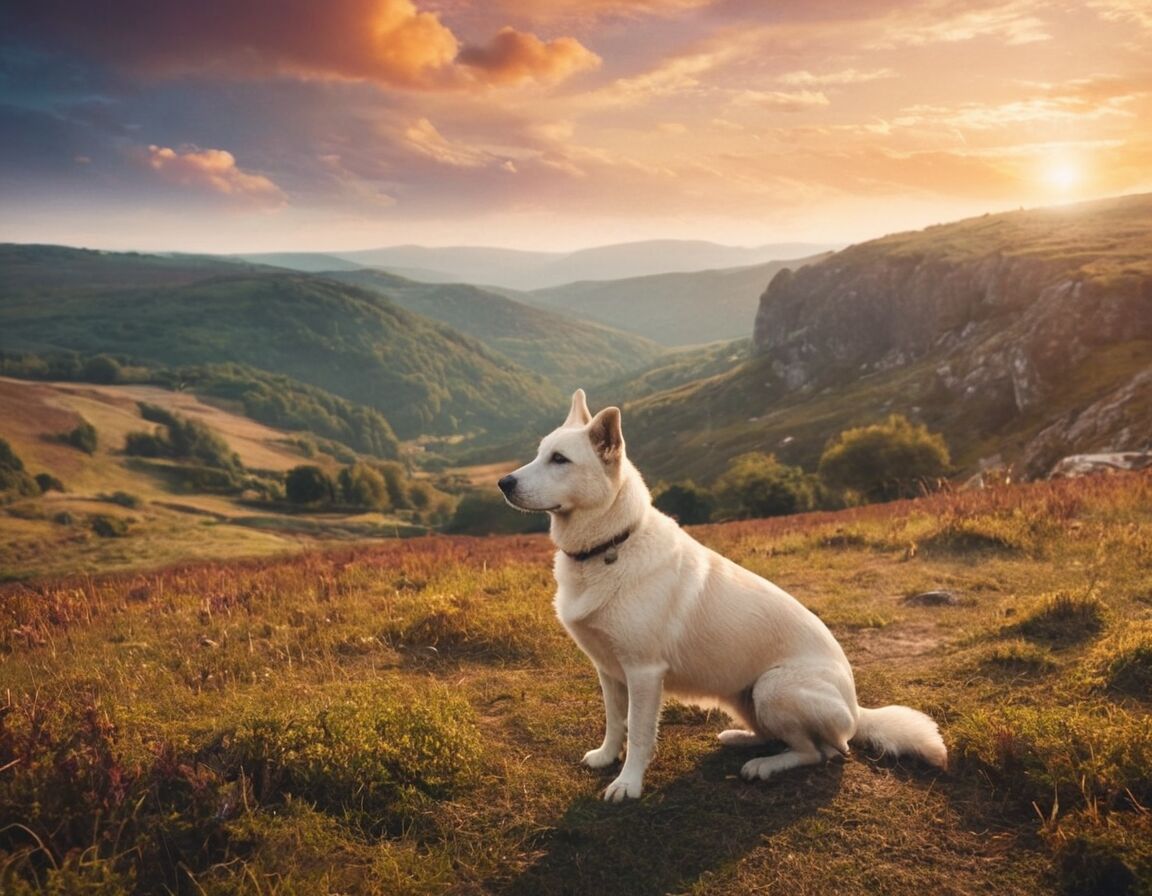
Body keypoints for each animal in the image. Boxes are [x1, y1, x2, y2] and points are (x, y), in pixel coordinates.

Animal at [499, 386, 949, 801]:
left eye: (560, 459)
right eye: (540, 454)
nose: (503, 483)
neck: (610, 545)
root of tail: (856, 708)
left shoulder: (643, 673)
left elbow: (640, 733)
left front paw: (628, 783)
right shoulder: (609, 671)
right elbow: (614, 722)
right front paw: (607, 757)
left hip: (774, 687)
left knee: (821, 751)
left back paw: (764, 765)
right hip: (744, 697)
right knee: (781, 736)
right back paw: (740, 738)